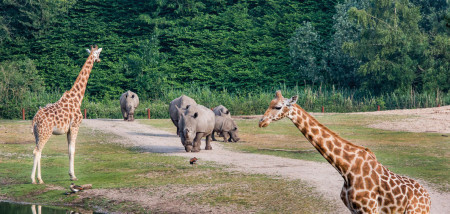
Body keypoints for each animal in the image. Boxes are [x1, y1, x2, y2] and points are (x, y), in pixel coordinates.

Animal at [30, 45, 102, 184]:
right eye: (97, 53)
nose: (99, 60)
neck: (77, 98)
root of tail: (35, 119)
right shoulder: (75, 126)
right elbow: (72, 150)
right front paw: (73, 176)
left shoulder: (68, 130)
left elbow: (69, 150)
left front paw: (70, 174)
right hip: (45, 132)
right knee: (37, 151)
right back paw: (34, 179)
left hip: (37, 134)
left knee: (39, 151)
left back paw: (40, 179)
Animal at [258, 91, 430, 213]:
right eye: (270, 103)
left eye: (278, 107)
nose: (261, 122)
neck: (346, 170)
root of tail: (428, 199)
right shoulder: (354, 210)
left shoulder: (369, 209)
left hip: (415, 212)